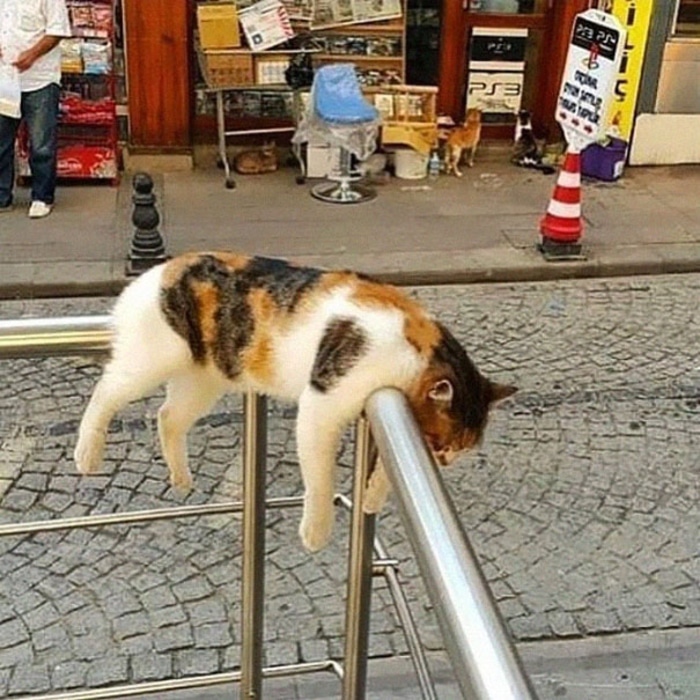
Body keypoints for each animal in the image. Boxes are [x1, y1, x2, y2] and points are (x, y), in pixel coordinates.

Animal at [75, 252, 516, 552]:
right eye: (443, 443)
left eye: (461, 448)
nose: (445, 461)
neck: (414, 350)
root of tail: (156, 271)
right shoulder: (322, 405)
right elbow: (320, 479)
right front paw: (317, 532)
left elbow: (383, 474)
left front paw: (371, 499)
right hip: (153, 359)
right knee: (107, 390)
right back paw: (87, 453)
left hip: (204, 378)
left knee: (167, 416)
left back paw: (181, 477)